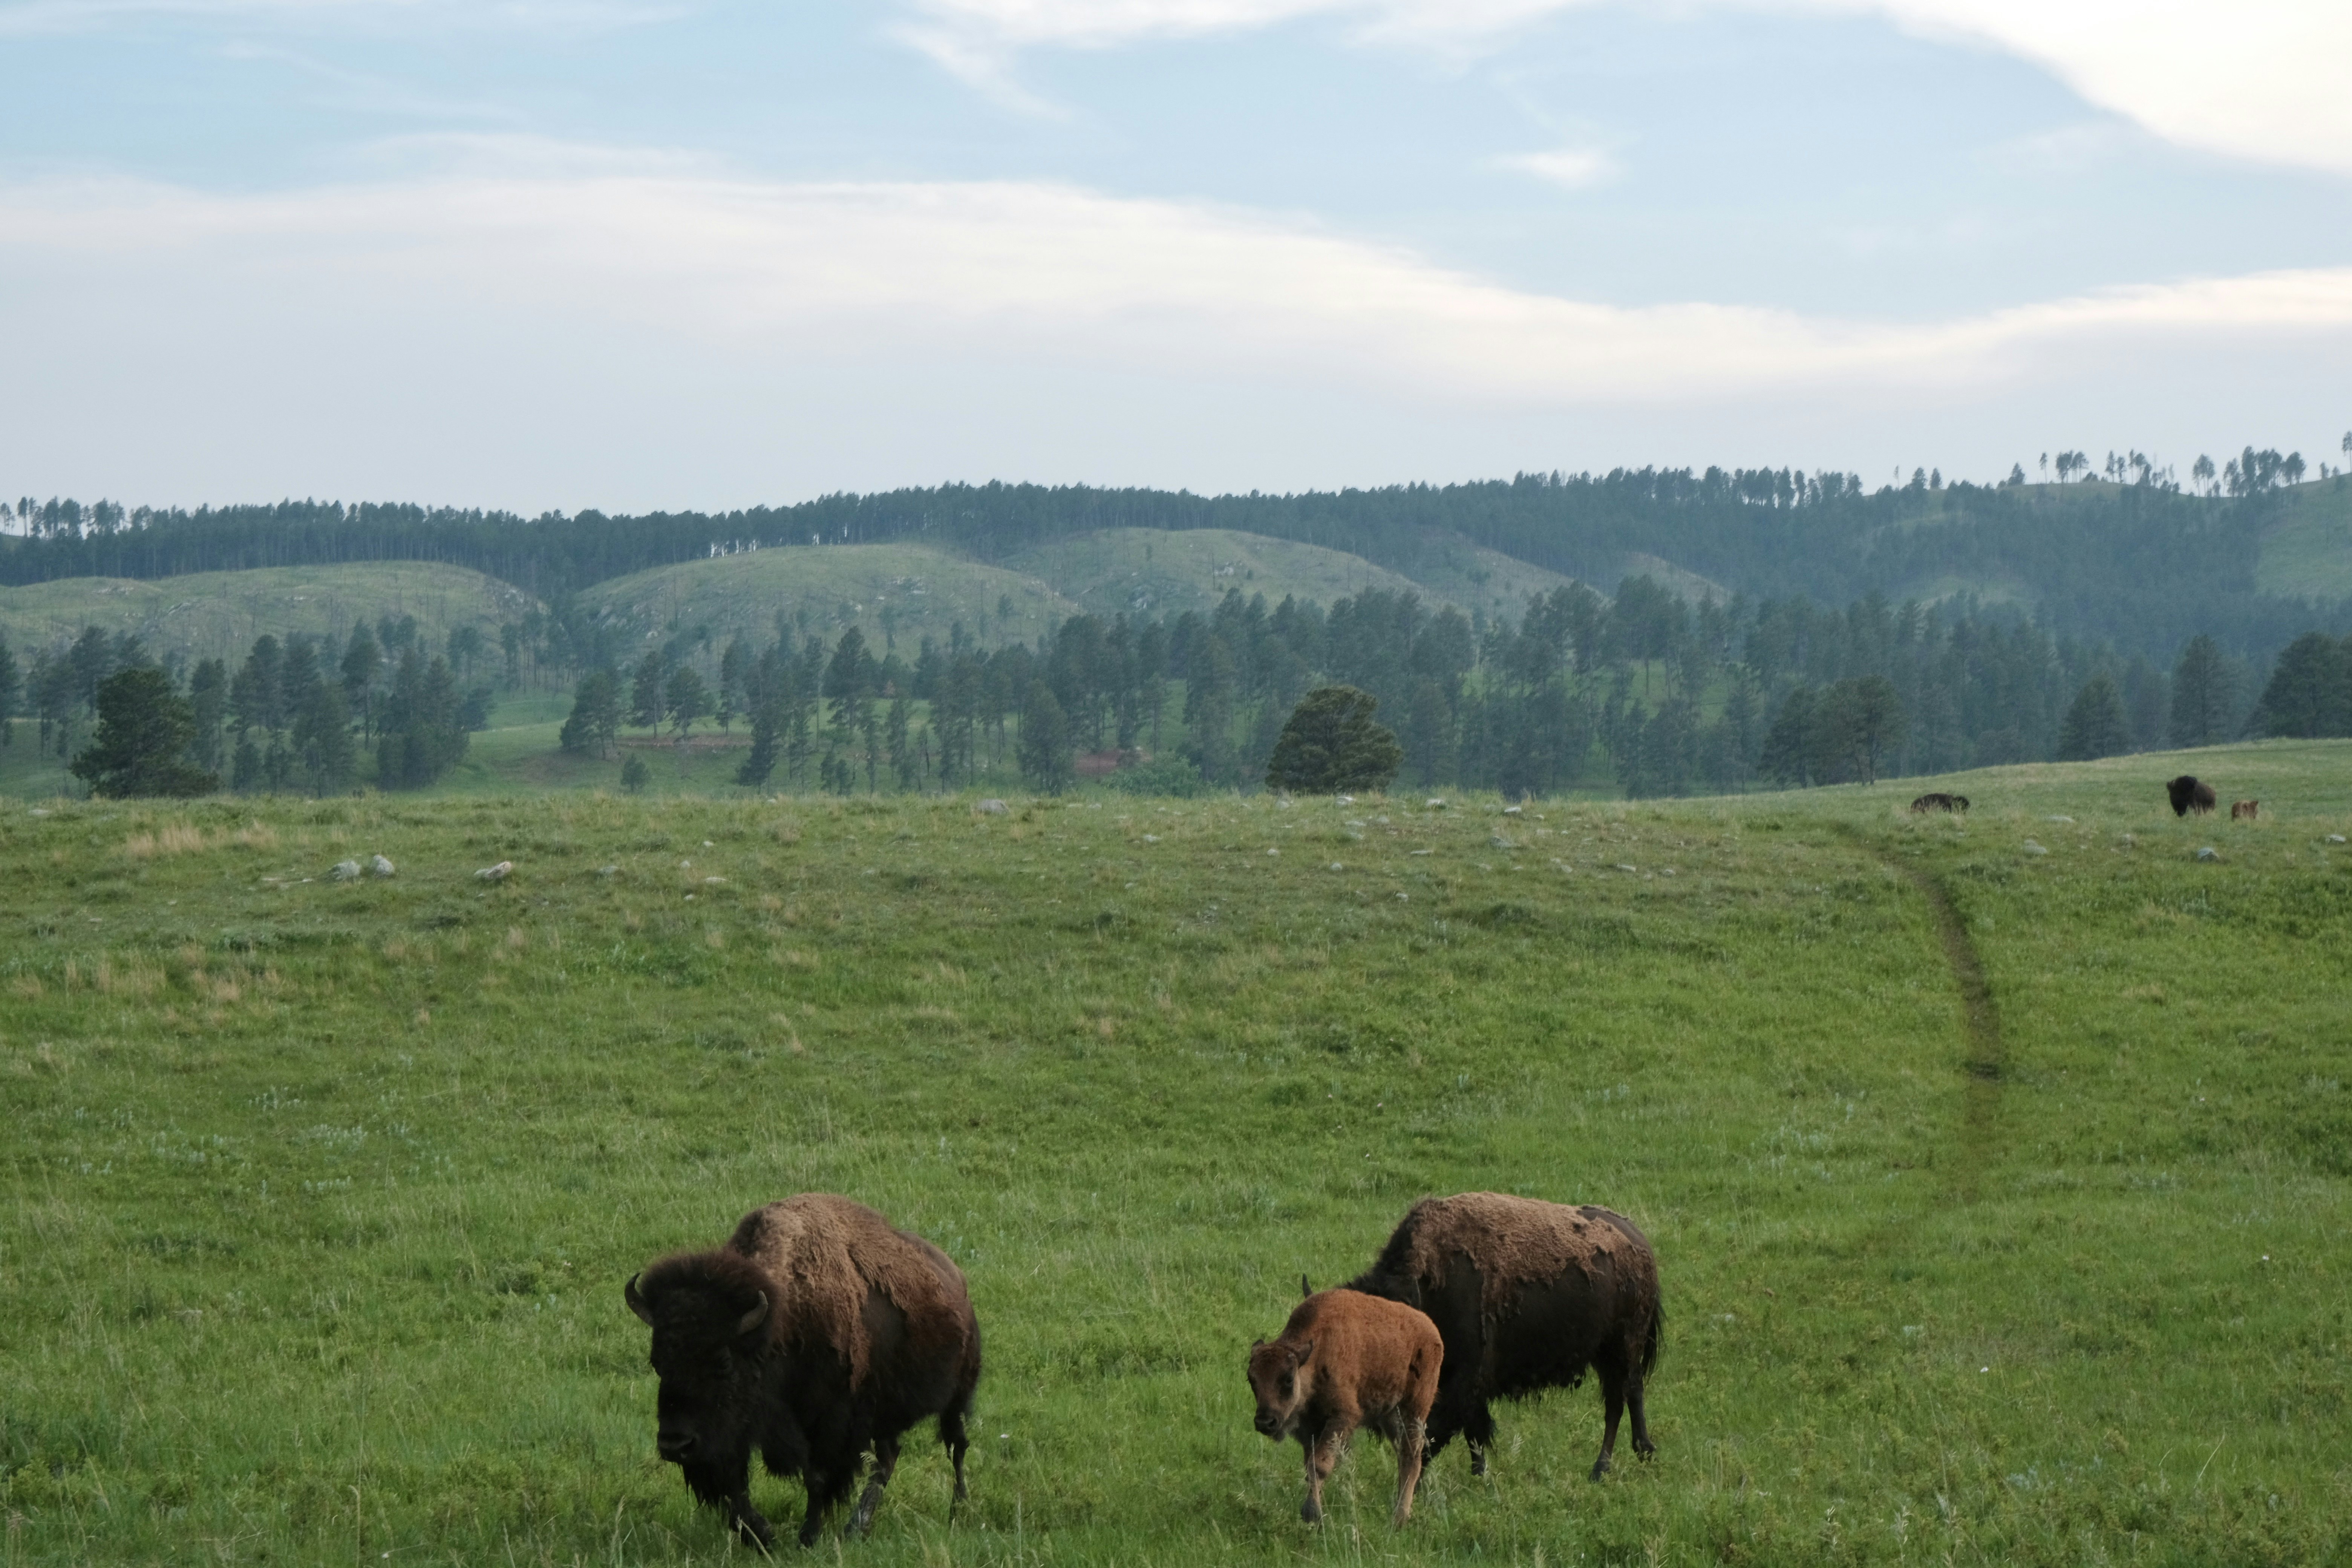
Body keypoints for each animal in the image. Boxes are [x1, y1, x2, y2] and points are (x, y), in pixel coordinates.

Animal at [625, 1195, 981, 1550]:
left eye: (724, 1362)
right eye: (657, 1362)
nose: (675, 1444)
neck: (777, 1324)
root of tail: (956, 1279)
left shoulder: (827, 1423)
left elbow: (816, 1477)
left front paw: (808, 1537)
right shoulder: (734, 1430)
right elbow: (733, 1487)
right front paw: (762, 1537)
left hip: (957, 1397)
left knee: (956, 1447)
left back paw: (958, 1509)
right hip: (883, 1414)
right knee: (888, 1457)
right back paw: (857, 1528)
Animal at [1346, 1193, 1661, 1483]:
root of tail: (1639, 1243)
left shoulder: (1464, 1380)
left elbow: (1440, 1433)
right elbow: (1472, 1431)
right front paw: (1479, 1475)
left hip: (1622, 1348)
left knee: (1620, 1399)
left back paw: (1604, 1467)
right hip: (1606, 1353)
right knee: (1629, 1394)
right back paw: (1636, 1454)